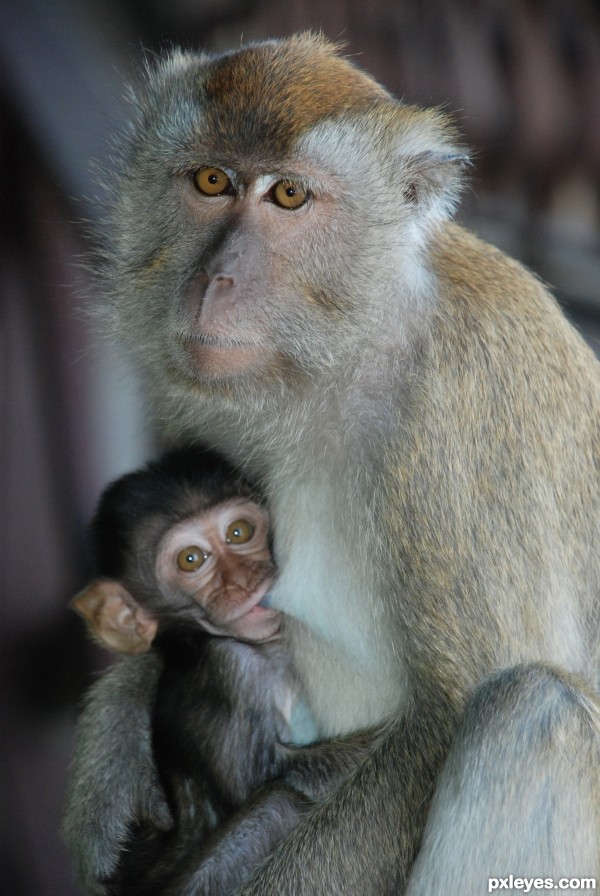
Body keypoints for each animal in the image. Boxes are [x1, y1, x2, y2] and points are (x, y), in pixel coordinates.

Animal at [72, 448, 368, 896]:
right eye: (190, 559)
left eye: (239, 532)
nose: (244, 580)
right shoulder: (232, 671)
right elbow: (270, 775)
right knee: (277, 807)